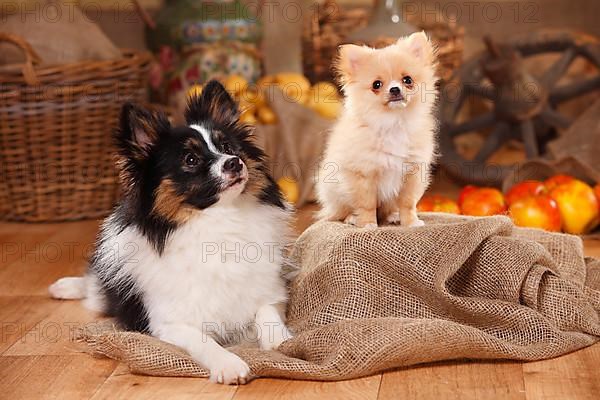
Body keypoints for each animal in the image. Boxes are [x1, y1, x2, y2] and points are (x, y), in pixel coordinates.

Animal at [316, 32, 438, 228]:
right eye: (377, 85)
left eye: (408, 80)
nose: (395, 89)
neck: (393, 123)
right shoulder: (363, 174)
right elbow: (367, 204)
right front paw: (367, 224)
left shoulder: (412, 172)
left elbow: (407, 203)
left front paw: (411, 222)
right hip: (335, 191)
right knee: (340, 212)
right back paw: (352, 218)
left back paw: (393, 216)